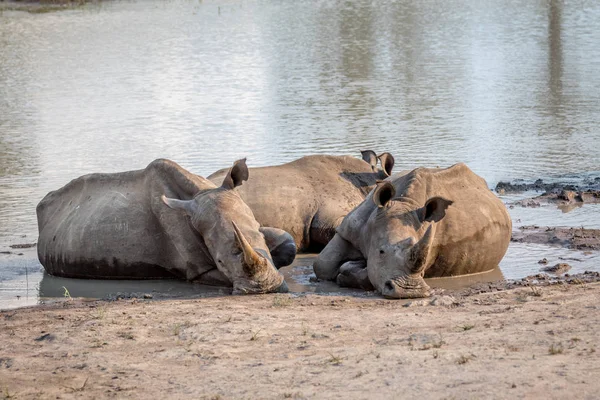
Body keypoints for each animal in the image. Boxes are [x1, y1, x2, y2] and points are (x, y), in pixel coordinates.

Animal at [312, 164, 512, 298]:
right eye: (381, 251)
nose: (409, 291)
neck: (403, 203)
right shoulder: (350, 227)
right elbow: (322, 264)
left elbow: (368, 273)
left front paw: (349, 269)